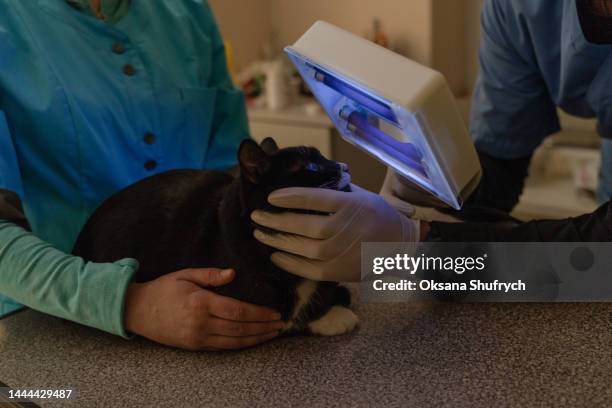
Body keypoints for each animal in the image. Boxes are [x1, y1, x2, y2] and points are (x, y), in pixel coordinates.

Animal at [71, 139, 358, 336]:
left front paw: (338, 297)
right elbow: (291, 313)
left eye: (322, 156)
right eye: (311, 166)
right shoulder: (258, 305)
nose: (344, 165)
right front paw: (336, 317)